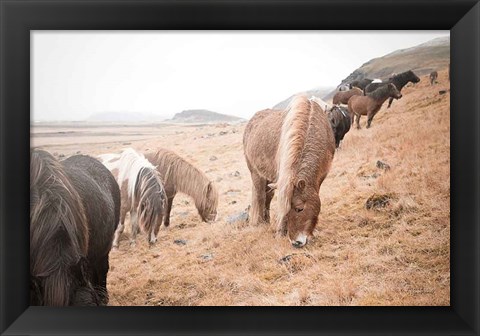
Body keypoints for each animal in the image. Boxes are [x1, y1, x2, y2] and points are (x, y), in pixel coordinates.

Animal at [244, 94, 334, 247]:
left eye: (299, 208)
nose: (296, 242)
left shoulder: (320, 177)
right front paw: (281, 232)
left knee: (268, 197)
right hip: (256, 174)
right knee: (260, 197)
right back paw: (261, 223)